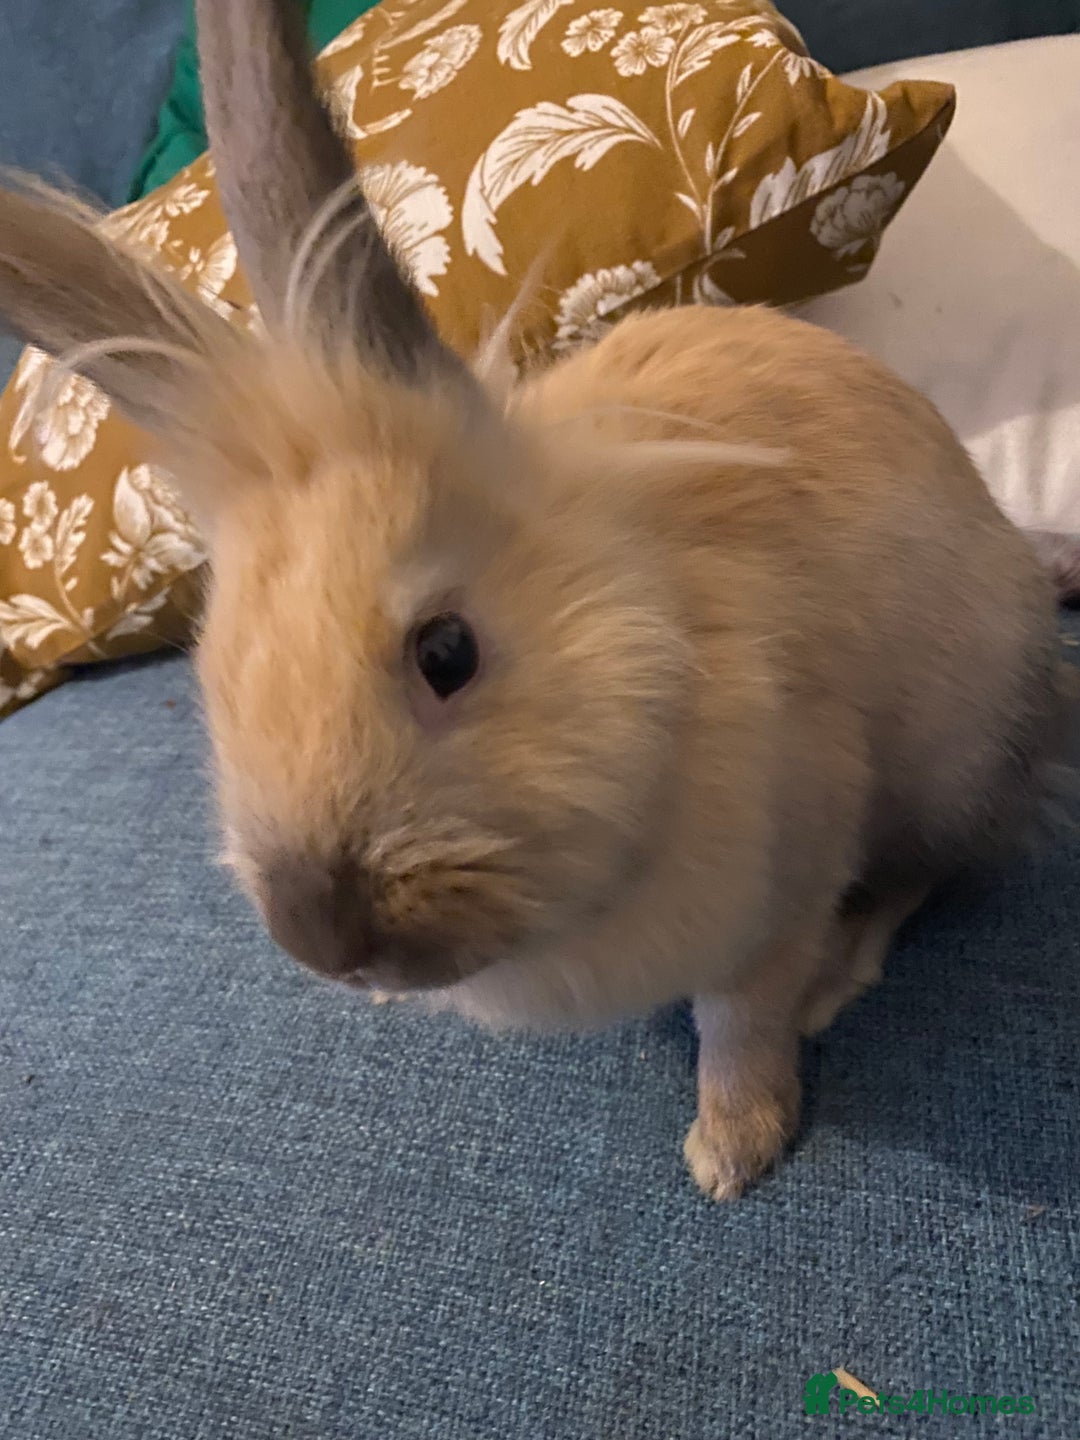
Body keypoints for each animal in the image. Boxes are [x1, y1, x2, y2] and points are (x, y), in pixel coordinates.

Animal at [0, 0, 1069, 1201]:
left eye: (447, 652)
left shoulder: (783, 882)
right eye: (214, 681)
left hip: (955, 751)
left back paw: (841, 974)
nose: (324, 941)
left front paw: (732, 1154)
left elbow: (743, 1025)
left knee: (933, 869)